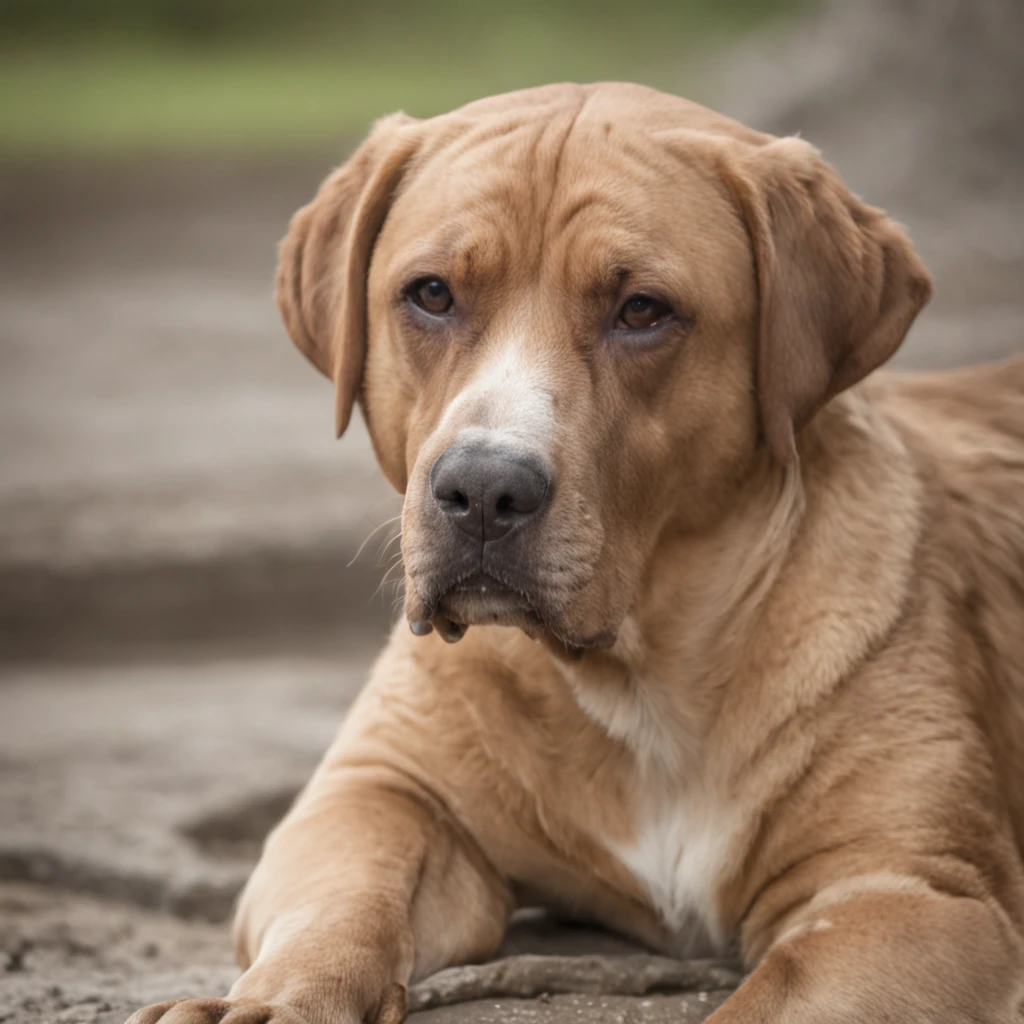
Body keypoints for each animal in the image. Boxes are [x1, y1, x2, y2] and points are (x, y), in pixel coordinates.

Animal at [128, 81, 1024, 1024]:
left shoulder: (915, 896)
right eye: (432, 294)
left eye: (643, 310)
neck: (641, 681)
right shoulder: (375, 796)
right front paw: (273, 1000)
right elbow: (338, 904)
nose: (483, 488)